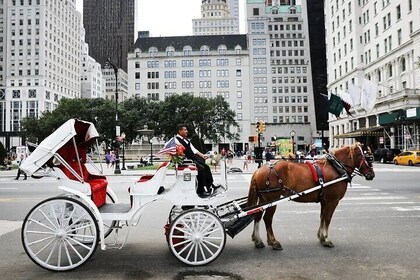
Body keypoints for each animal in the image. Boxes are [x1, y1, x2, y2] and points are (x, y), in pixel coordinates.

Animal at [246, 142, 374, 249]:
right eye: (368, 157)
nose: (371, 174)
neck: (336, 168)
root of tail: (258, 170)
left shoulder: (324, 201)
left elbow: (322, 217)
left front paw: (321, 237)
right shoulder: (332, 201)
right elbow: (327, 219)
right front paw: (326, 239)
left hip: (263, 199)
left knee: (257, 216)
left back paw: (258, 240)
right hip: (272, 199)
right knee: (267, 219)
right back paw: (273, 242)